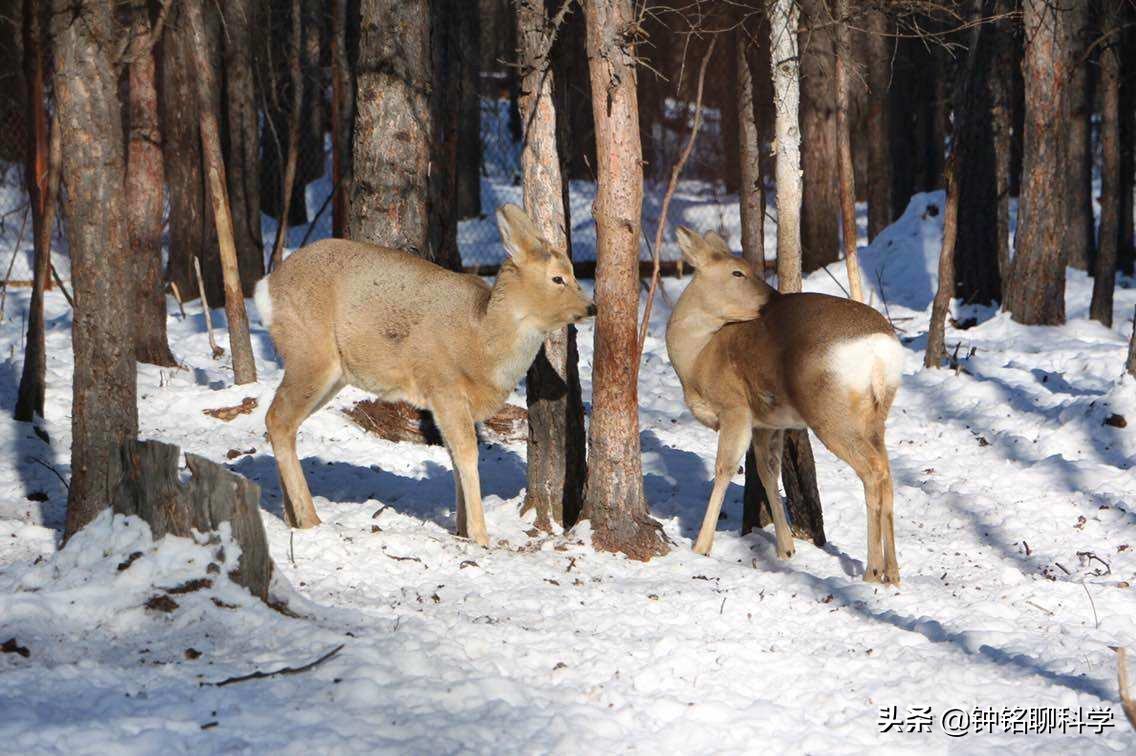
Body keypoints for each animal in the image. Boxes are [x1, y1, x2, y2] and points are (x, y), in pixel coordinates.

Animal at [256, 203, 595, 545]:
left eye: (573, 273)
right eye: (558, 278)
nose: (591, 306)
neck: (482, 344)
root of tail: (265, 289)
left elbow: (455, 458)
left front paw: (462, 530)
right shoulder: (444, 386)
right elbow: (467, 454)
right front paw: (480, 537)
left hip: (331, 374)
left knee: (282, 423)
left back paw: (292, 516)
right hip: (310, 353)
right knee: (277, 418)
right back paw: (309, 519)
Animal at [663, 229, 904, 582]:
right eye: (738, 272)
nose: (772, 298)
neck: (698, 358)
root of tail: (881, 349)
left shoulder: (735, 407)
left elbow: (724, 469)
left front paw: (701, 546)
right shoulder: (767, 422)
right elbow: (767, 471)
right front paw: (786, 549)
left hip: (832, 414)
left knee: (873, 472)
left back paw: (872, 571)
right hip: (875, 416)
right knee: (887, 472)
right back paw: (893, 574)